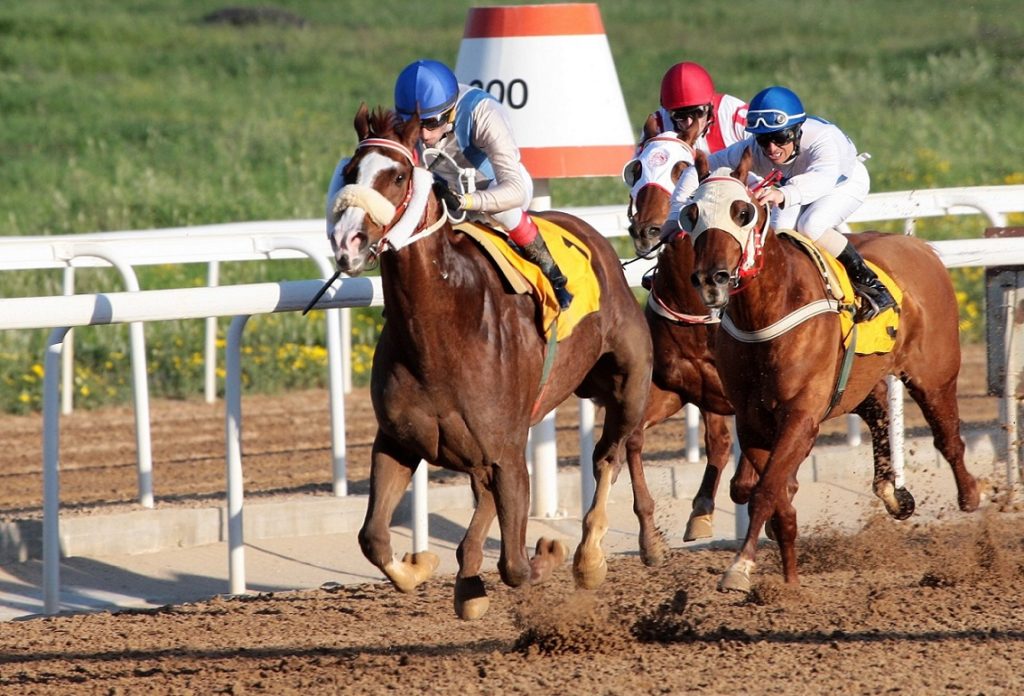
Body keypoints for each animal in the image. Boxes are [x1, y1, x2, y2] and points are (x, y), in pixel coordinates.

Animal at [331, 104, 651, 618]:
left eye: (398, 175)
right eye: (349, 172)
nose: (347, 241)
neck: (440, 331)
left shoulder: (509, 454)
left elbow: (517, 566)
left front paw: (550, 550)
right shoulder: (398, 441)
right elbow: (374, 538)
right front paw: (423, 564)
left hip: (629, 381)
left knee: (611, 454)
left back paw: (591, 557)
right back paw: (470, 583)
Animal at [684, 148, 978, 593]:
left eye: (743, 212)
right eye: (691, 213)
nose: (711, 279)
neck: (768, 310)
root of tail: (920, 246)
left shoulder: (801, 414)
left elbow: (767, 489)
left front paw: (740, 567)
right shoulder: (752, 418)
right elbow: (767, 493)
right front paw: (787, 575)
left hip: (934, 373)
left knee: (948, 438)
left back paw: (970, 494)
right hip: (856, 383)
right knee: (878, 408)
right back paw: (893, 492)